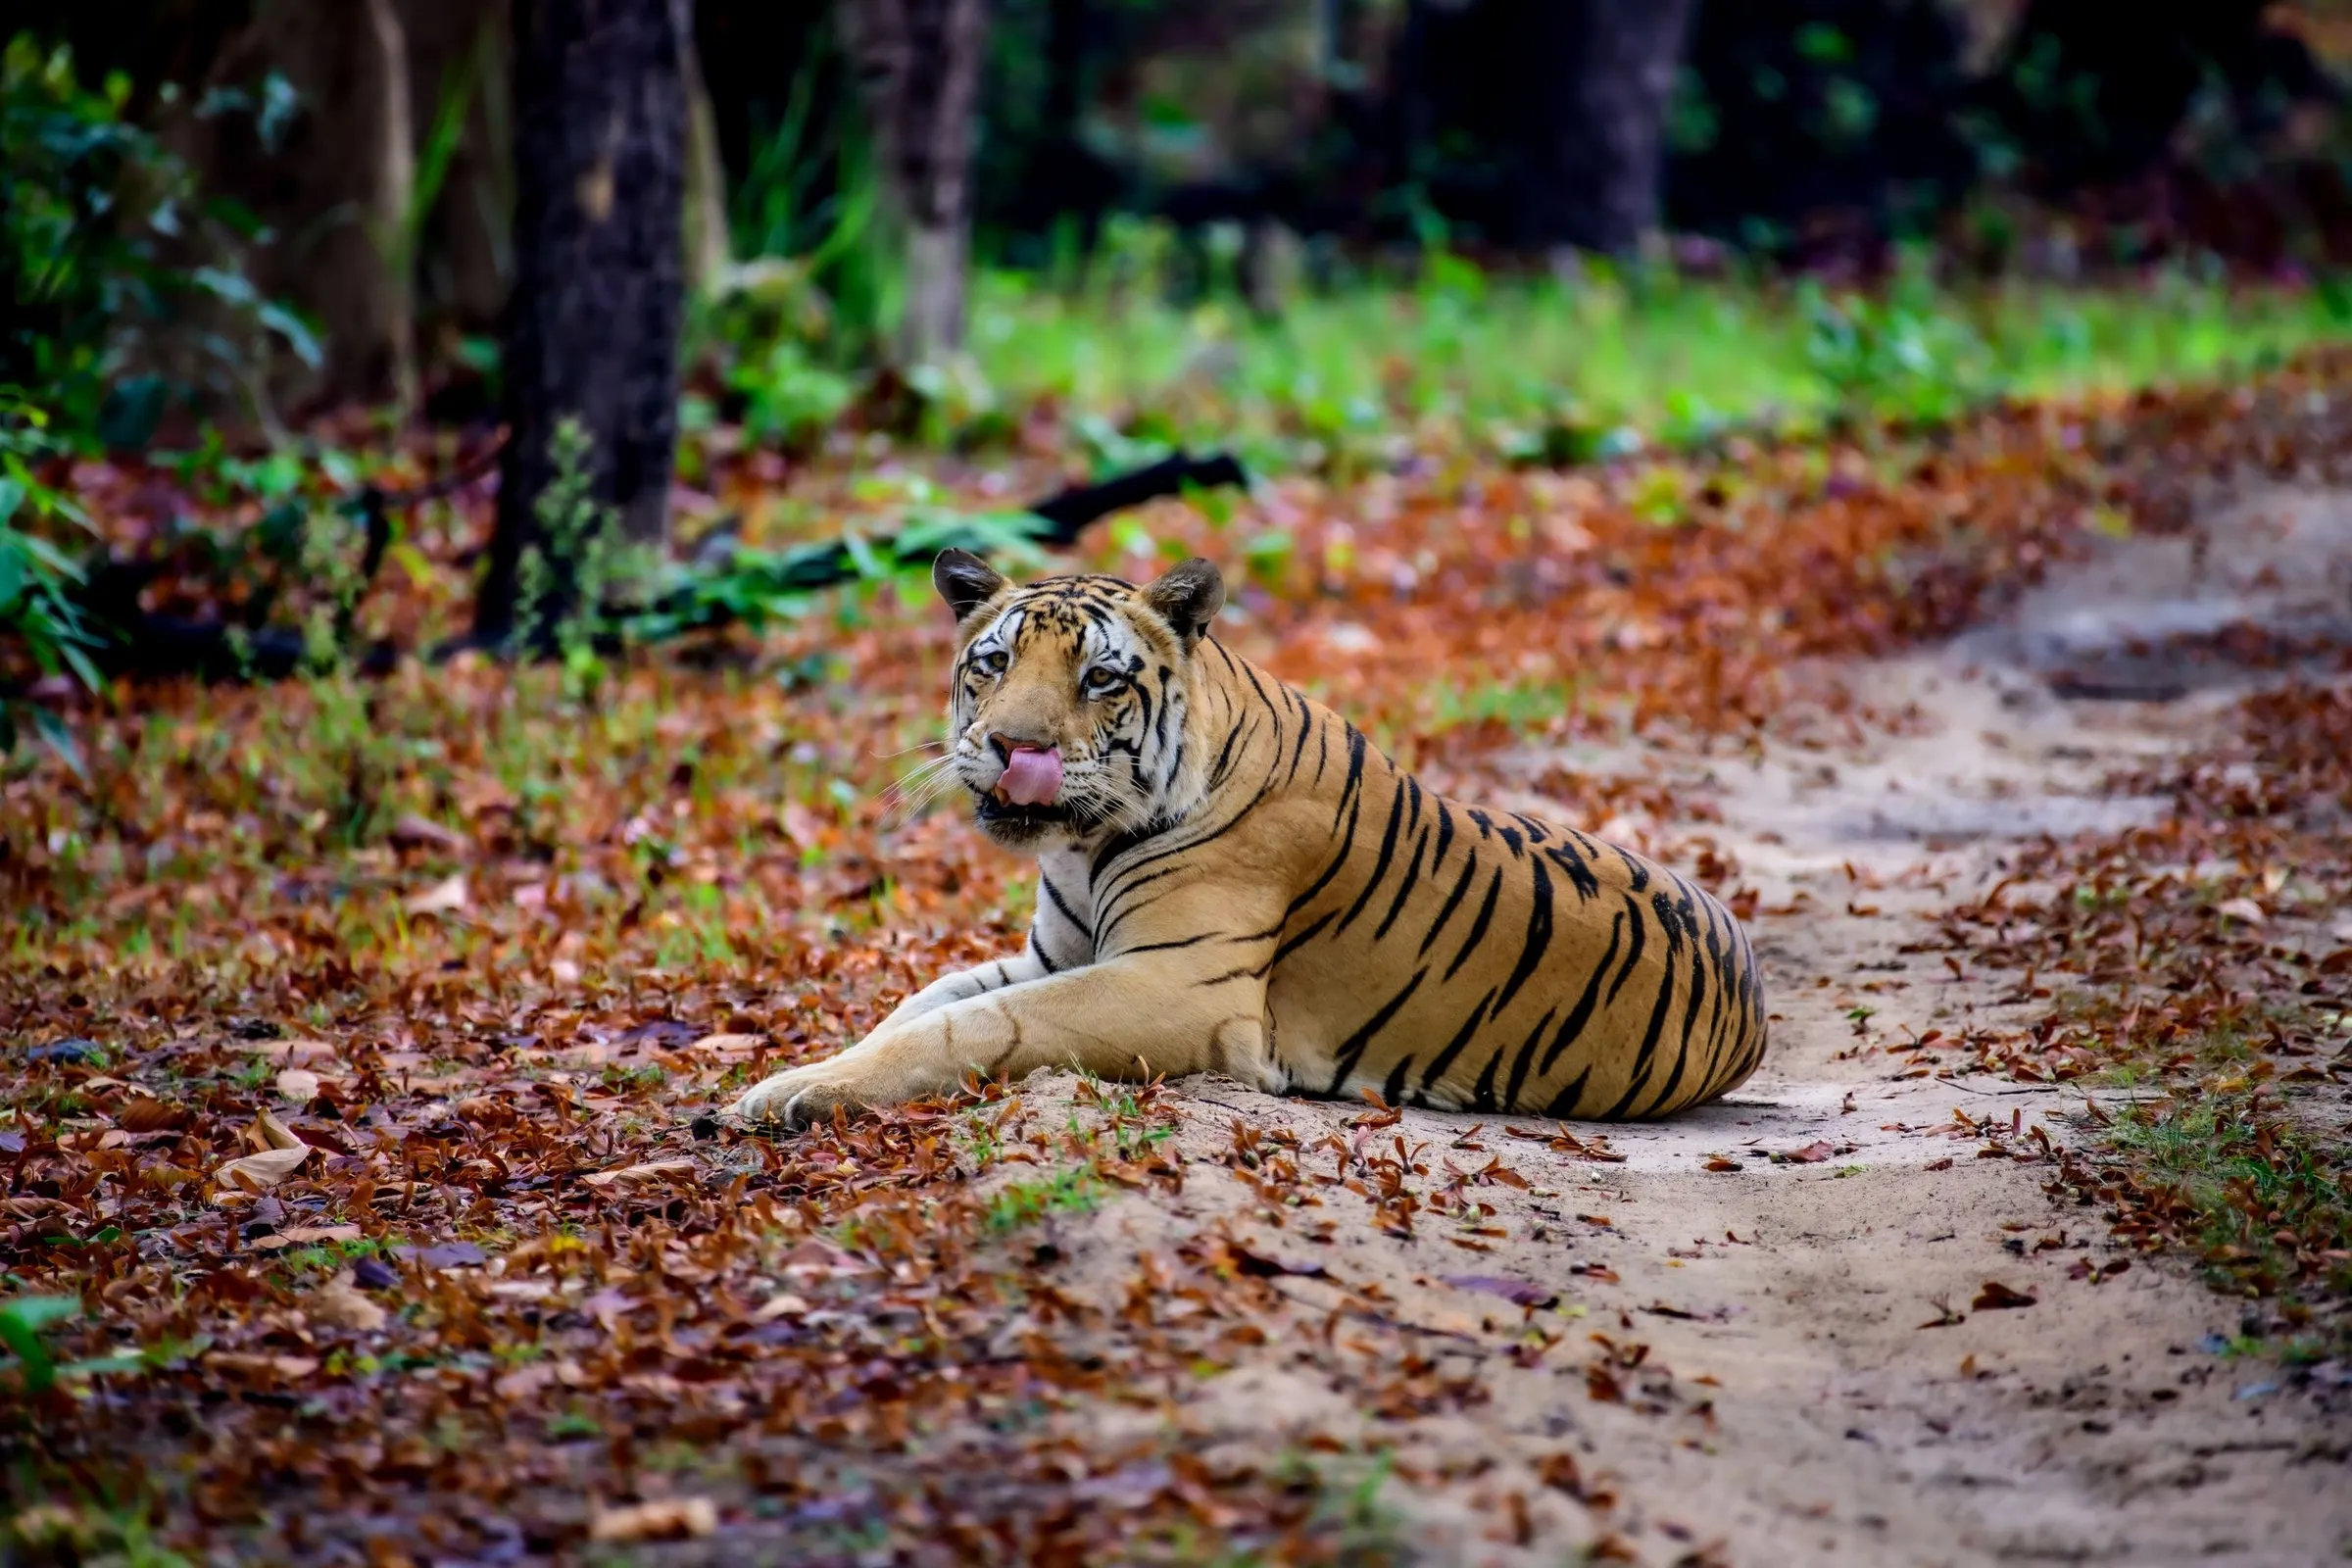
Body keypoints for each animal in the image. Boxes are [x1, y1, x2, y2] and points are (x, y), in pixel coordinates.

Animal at [728, 550, 1767, 1128]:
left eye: (1099, 678)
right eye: (993, 663)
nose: (1014, 748)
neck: (1084, 843)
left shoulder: (1176, 984)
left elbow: (970, 1024)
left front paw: (789, 1097)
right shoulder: (1055, 955)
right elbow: (918, 1002)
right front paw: (792, 1074)